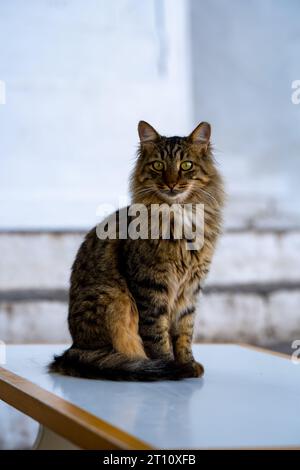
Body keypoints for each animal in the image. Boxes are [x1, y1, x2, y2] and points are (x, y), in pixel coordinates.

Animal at [49, 119, 224, 380]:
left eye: (186, 165)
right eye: (158, 165)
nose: (171, 183)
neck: (179, 218)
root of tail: (72, 349)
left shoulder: (190, 289)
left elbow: (185, 331)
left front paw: (188, 363)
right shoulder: (150, 286)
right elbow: (157, 335)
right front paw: (171, 366)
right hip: (114, 299)